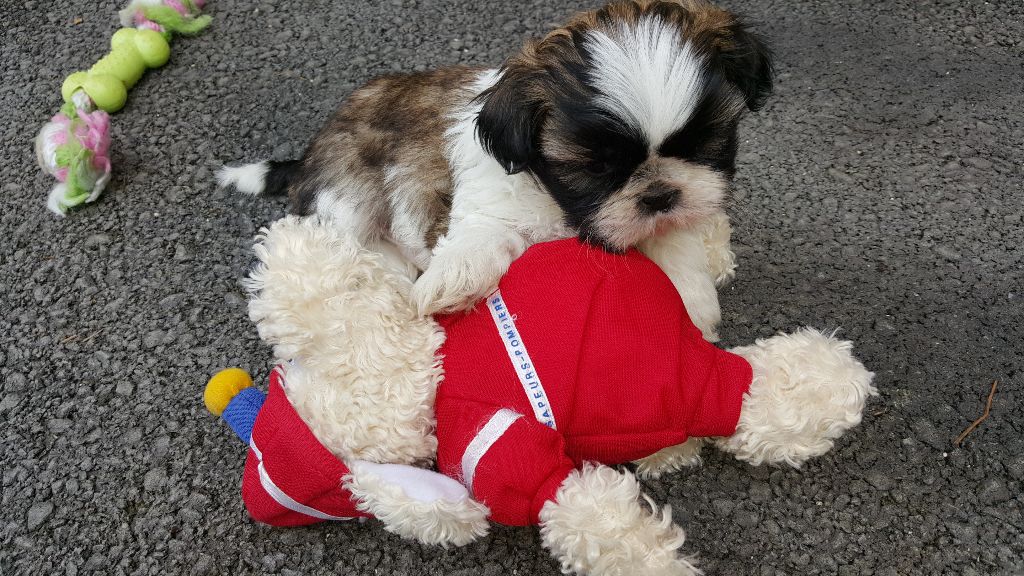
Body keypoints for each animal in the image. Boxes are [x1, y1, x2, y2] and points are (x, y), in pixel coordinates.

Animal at [218, 0, 772, 342]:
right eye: (595, 168)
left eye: (705, 144)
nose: (658, 195)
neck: (558, 207)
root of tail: (312, 153)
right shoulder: (492, 202)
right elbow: (483, 234)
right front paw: (452, 278)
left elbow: (673, 243)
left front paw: (691, 305)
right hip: (347, 198)